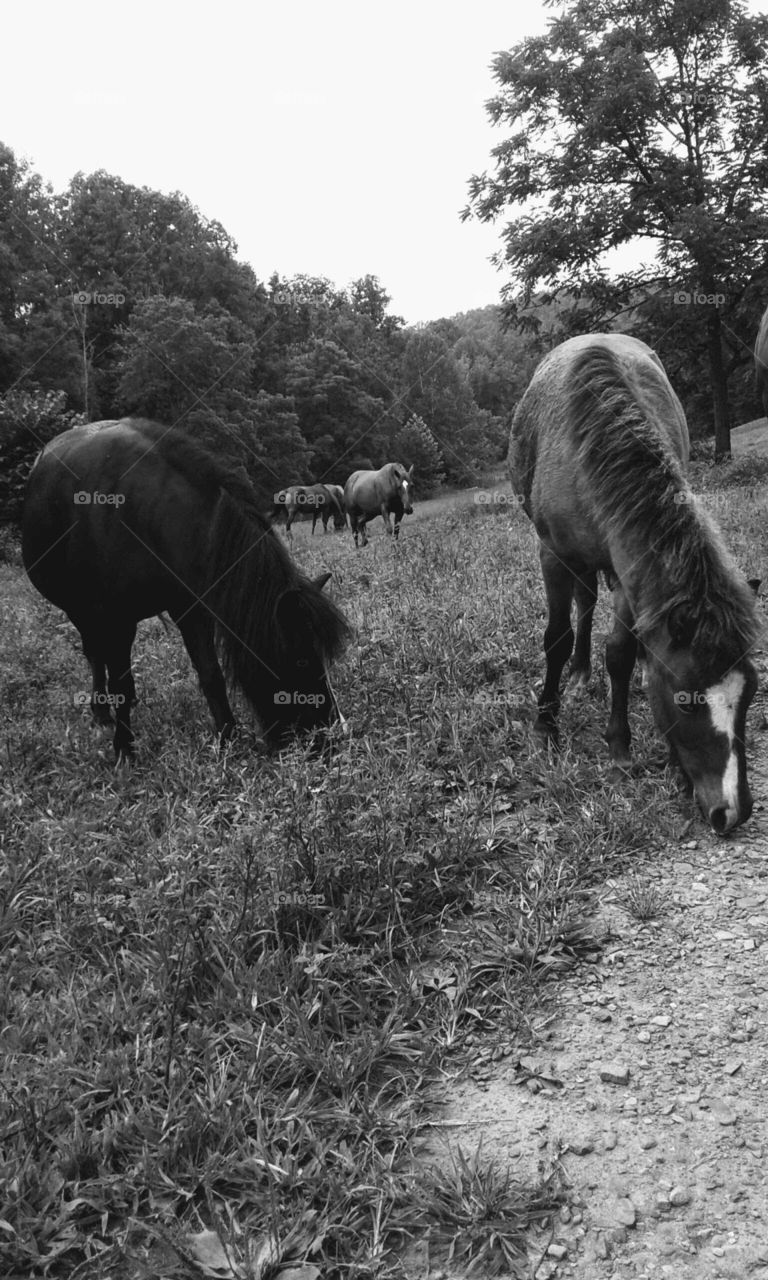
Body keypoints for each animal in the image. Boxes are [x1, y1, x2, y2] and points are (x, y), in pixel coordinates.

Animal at [20, 419, 350, 757]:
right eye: (301, 660)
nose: (332, 734)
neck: (145, 515)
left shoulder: (190, 607)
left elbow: (210, 673)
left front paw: (228, 737)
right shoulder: (115, 618)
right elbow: (118, 682)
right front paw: (124, 748)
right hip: (81, 612)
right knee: (95, 654)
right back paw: (101, 712)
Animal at [512, 330, 757, 834]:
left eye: (751, 695)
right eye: (686, 702)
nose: (733, 811)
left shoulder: (629, 573)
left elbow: (621, 654)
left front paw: (621, 747)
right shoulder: (552, 555)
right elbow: (556, 636)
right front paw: (546, 725)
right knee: (583, 605)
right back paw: (578, 674)